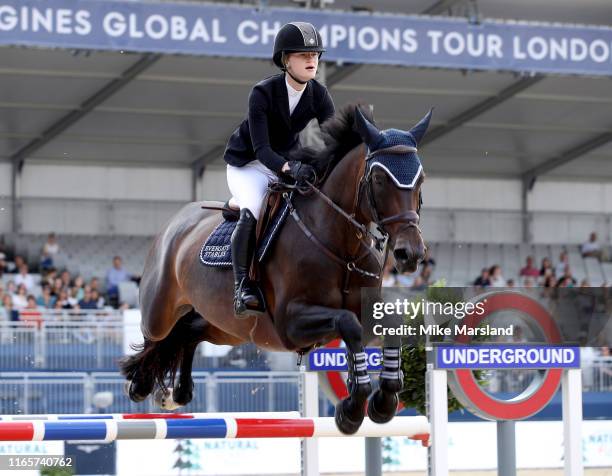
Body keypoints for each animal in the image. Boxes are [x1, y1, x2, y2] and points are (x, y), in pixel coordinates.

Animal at [120, 105, 430, 436]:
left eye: (420, 180)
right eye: (380, 179)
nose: (410, 253)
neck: (340, 243)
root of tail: (177, 220)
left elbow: (390, 321)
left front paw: (384, 400)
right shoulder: (290, 322)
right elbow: (347, 323)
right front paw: (353, 407)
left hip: (227, 328)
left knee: (188, 332)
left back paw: (179, 393)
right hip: (161, 310)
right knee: (157, 335)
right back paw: (140, 383)